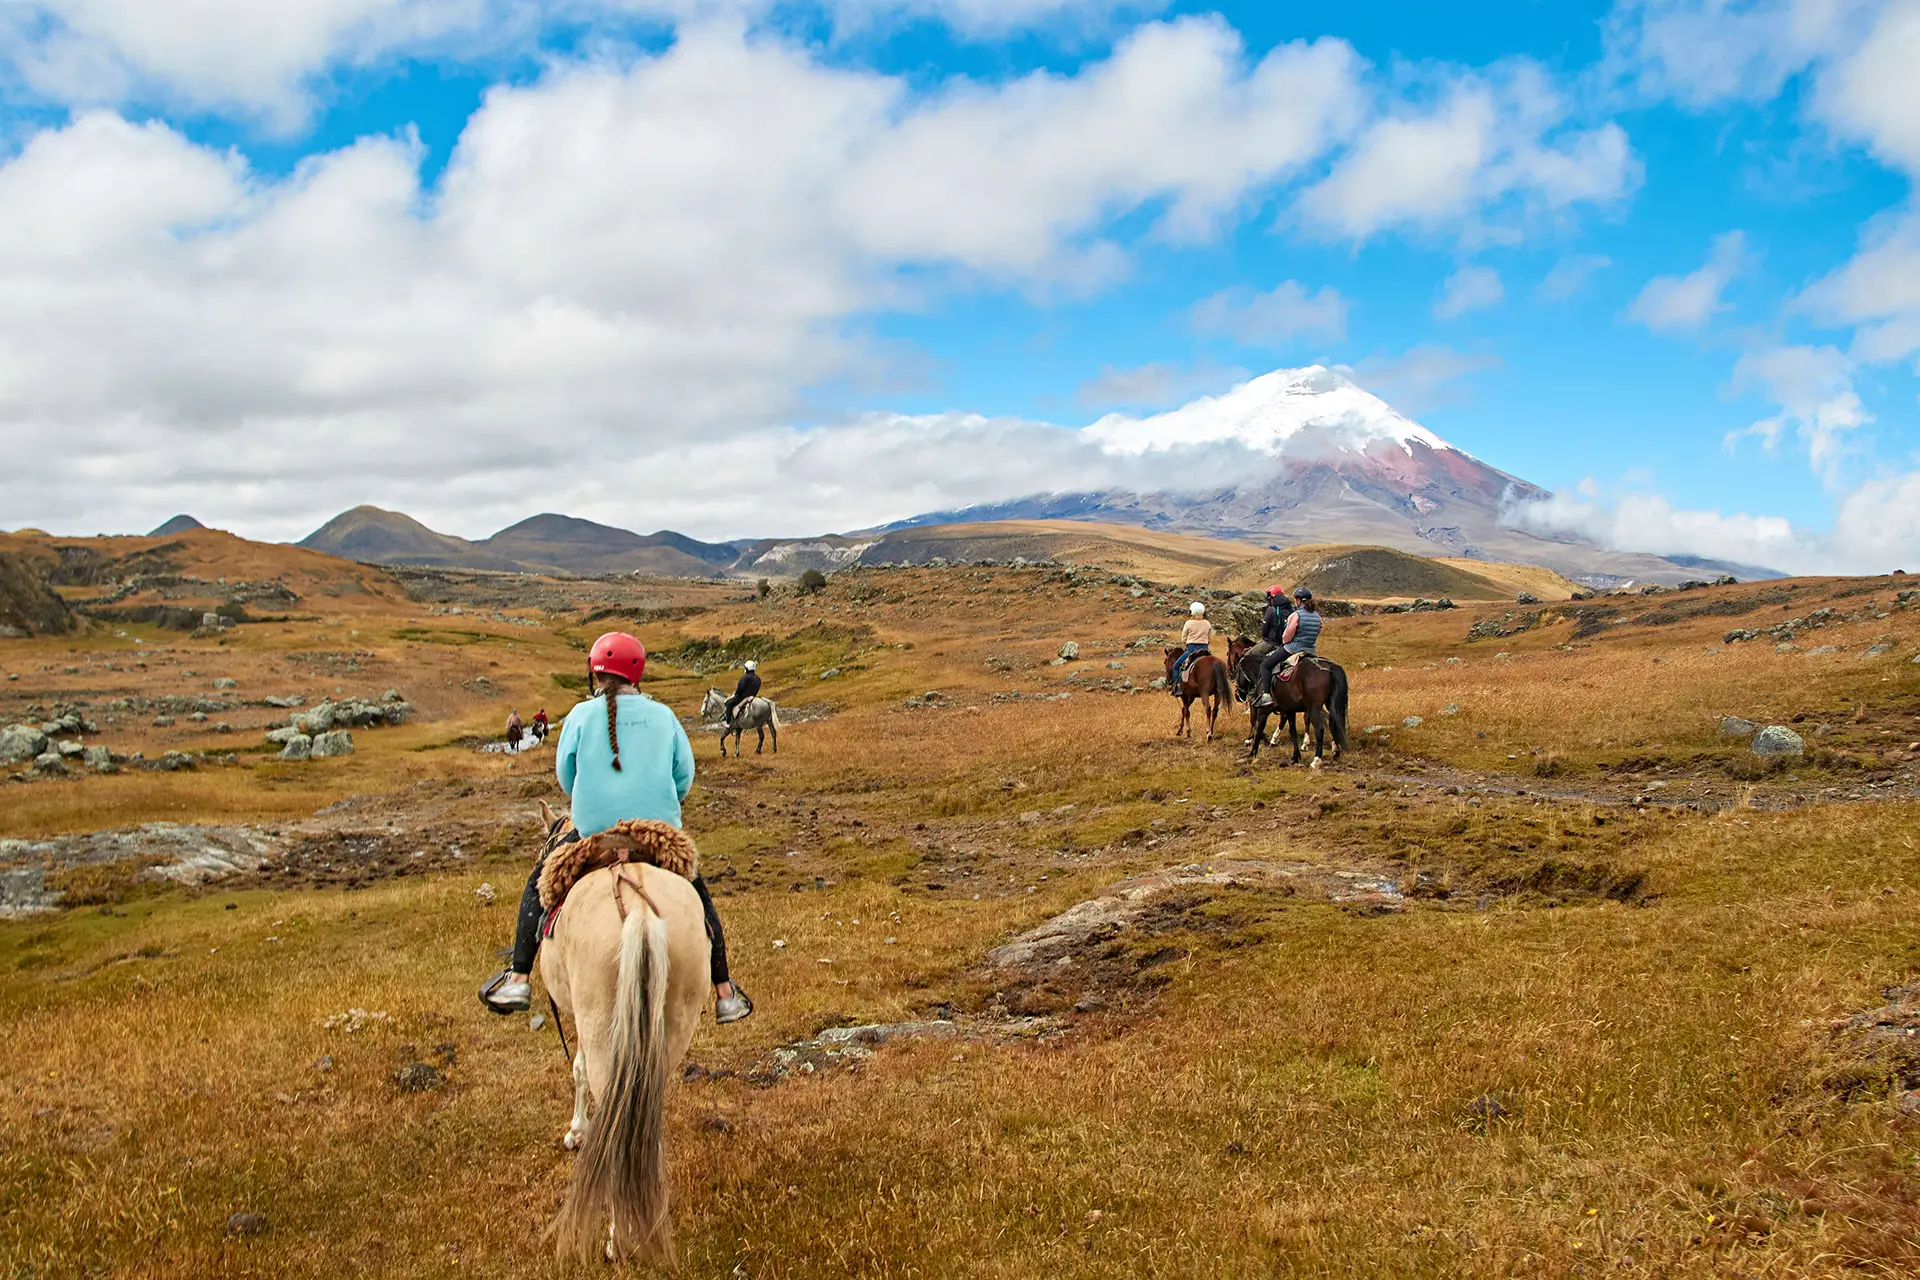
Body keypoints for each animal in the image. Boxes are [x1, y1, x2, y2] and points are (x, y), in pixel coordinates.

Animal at [541, 809, 714, 1258]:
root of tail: (638, 910)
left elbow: (578, 1071)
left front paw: (577, 1132)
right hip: (670, 1026)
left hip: (603, 1025)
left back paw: (617, 1238)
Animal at [1228, 637, 1351, 767]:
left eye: (1237, 672)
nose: (1237, 695)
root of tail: (1330, 667)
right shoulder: (1289, 710)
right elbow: (1292, 731)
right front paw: (1295, 756)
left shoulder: (1262, 709)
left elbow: (1257, 724)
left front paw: (1252, 749)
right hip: (1329, 705)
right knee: (1334, 723)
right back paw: (1334, 750)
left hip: (1314, 707)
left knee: (1320, 729)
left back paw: (1316, 760)